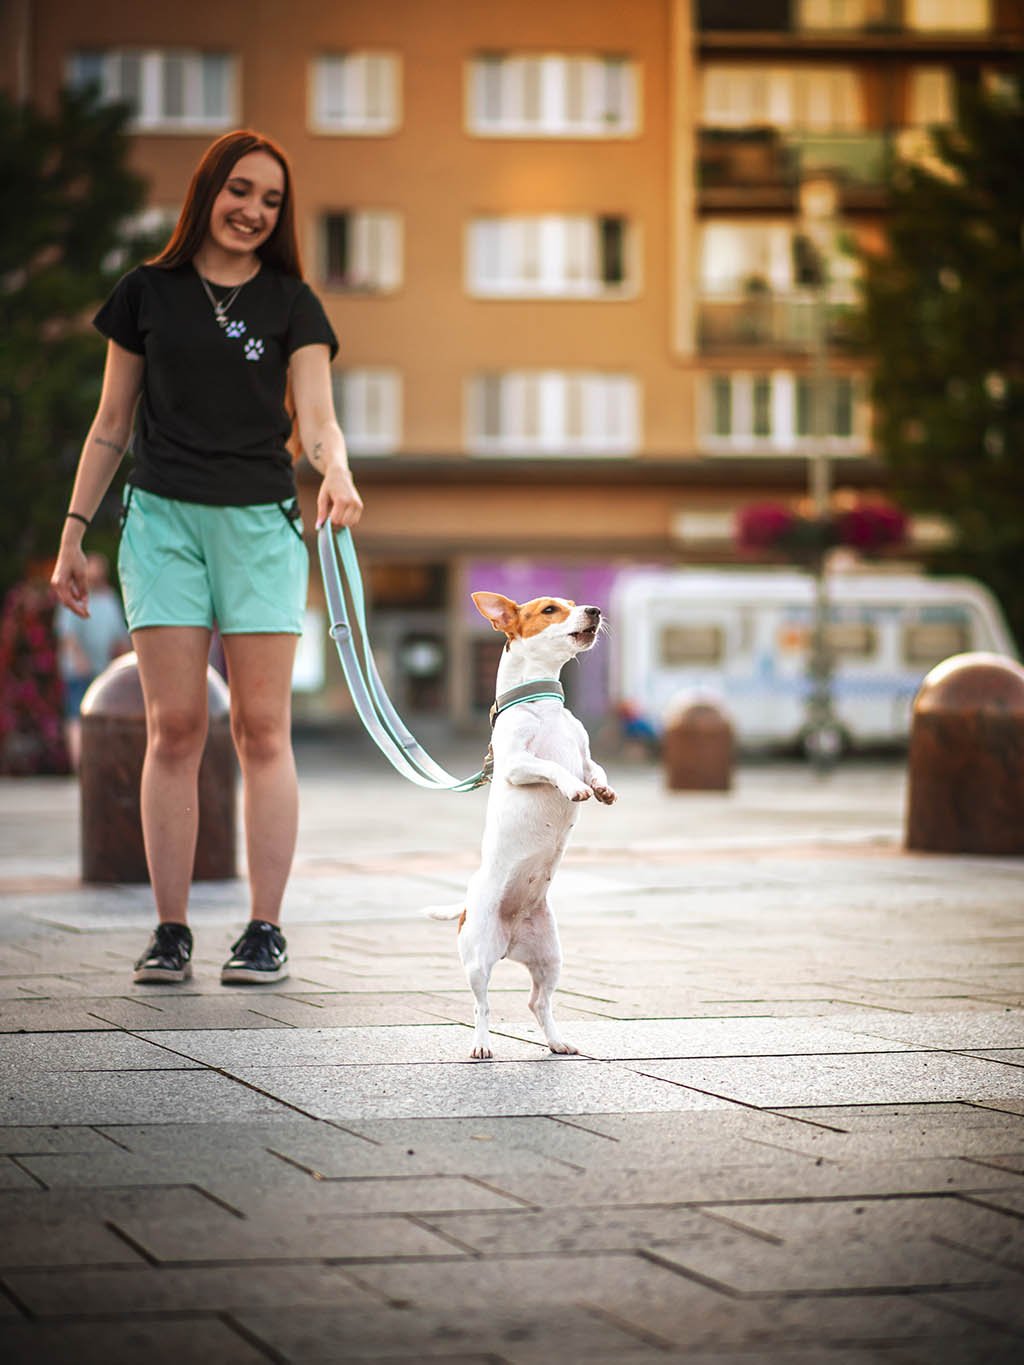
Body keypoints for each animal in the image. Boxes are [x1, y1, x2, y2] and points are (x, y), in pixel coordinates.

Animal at [425, 592, 617, 1059]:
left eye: (572, 603)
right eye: (550, 609)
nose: (595, 610)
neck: (542, 706)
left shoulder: (585, 755)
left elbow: (594, 768)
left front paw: (602, 789)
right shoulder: (515, 764)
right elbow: (553, 767)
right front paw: (574, 789)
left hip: (550, 957)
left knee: (537, 1002)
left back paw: (557, 1042)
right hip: (478, 960)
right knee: (482, 1005)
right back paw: (480, 1046)